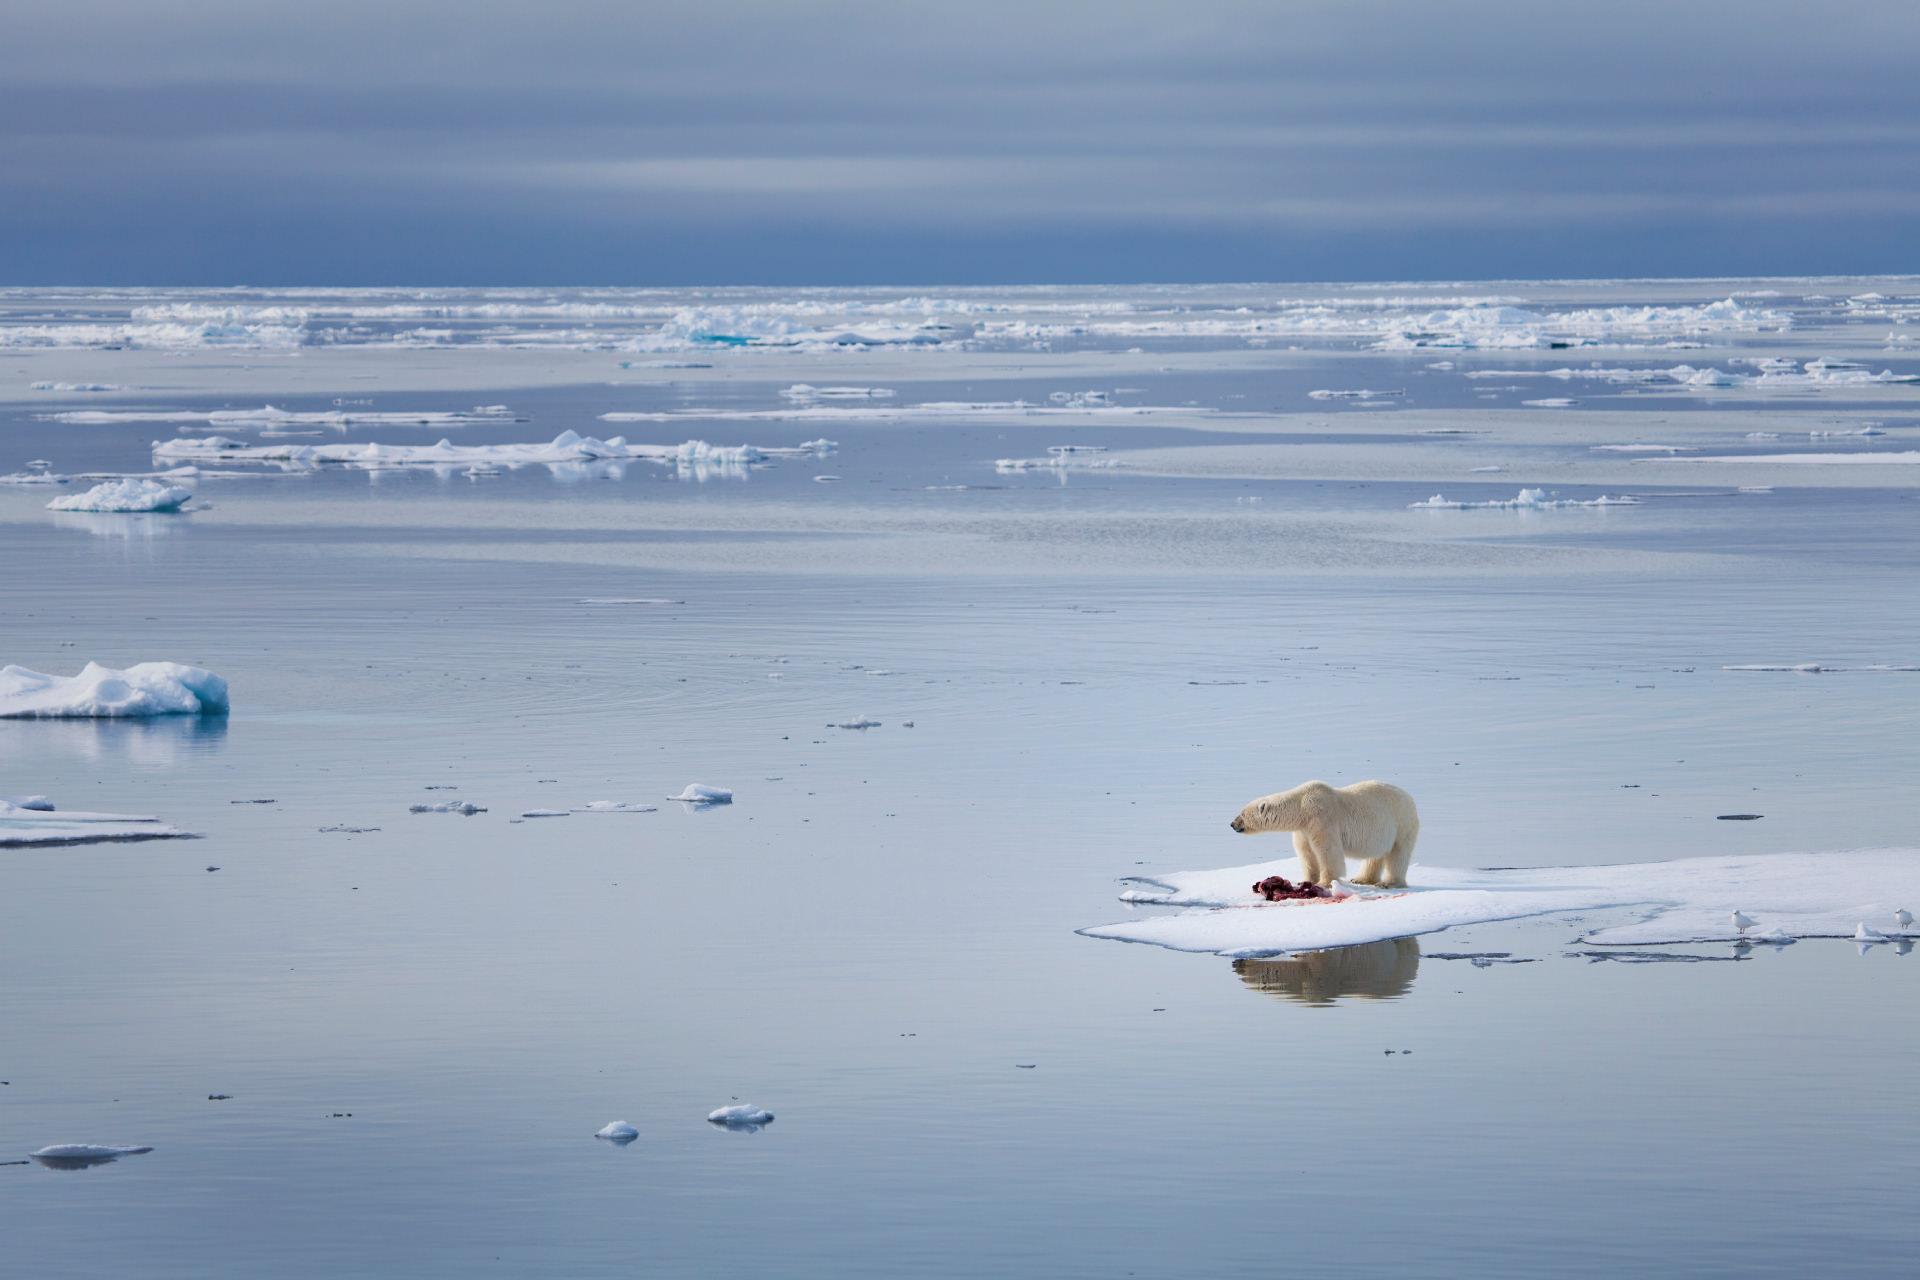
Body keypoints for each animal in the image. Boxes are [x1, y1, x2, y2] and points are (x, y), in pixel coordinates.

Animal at [1221, 782, 1420, 890]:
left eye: (1242, 813)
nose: (1232, 824)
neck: (1301, 806)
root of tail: (1411, 798)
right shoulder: (1303, 829)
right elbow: (1306, 853)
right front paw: (1306, 880)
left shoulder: (1321, 818)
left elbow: (1327, 851)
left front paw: (1325, 882)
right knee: (1375, 855)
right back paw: (1362, 878)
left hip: (1402, 823)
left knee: (1398, 854)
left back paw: (1389, 883)